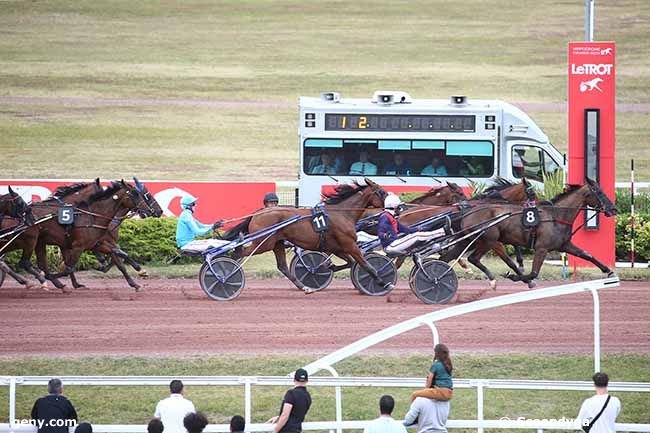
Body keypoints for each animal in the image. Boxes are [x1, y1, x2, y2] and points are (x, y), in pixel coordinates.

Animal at [224, 179, 384, 290]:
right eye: (382, 192)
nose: (388, 205)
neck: (342, 214)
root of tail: (257, 213)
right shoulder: (349, 244)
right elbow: (366, 264)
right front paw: (382, 282)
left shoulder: (337, 247)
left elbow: (350, 262)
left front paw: (328, 267)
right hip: (263, 243)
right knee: (238, 254)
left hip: (277, 243)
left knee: (282, 266)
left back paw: (304, 287)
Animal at [438, 179, 616, 286]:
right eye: (600, 193)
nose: (613, 209)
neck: (556, 216)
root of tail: (467, 212)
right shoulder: (542, 248)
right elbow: (533, 273)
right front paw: (515, 276)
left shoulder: (565, 245)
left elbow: (587, 254)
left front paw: (609, 271)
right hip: (490, 240)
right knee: (480, 258)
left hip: (472, 241)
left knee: (454, 258)